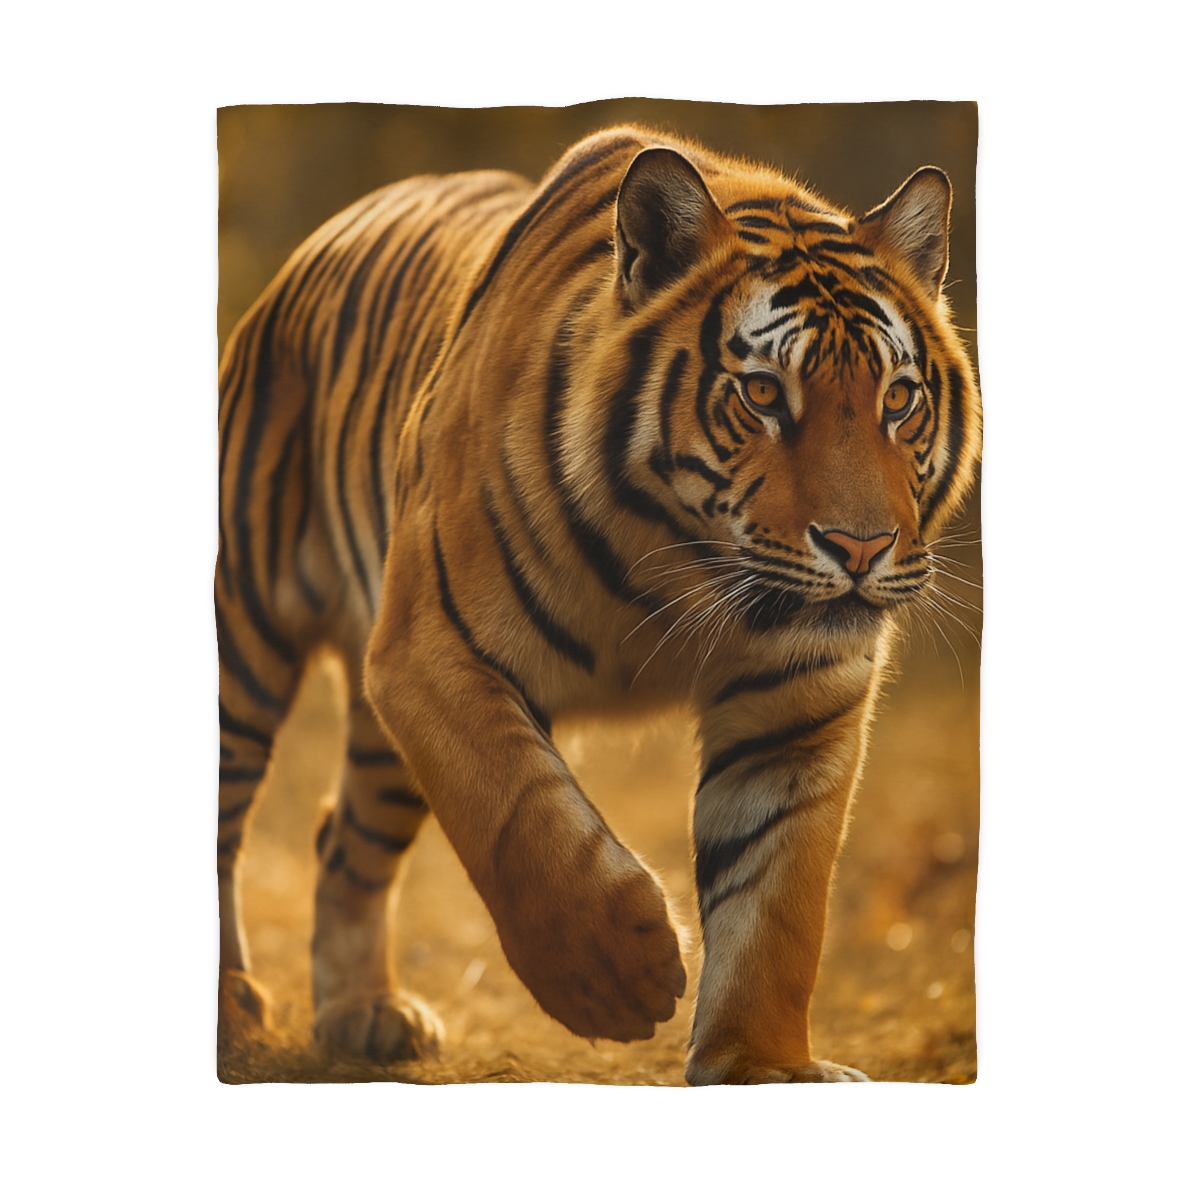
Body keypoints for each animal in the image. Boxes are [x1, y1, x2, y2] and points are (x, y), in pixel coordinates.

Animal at [217, 124, 982, 1085]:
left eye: (899, 399)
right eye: (763, 394)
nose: (860, 548)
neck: (679, 567)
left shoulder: (799, 701)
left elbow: (780, 898)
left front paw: (762, 1066)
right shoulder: (428, 652)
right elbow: (520, 816)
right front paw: (619, 976)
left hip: (381, 748)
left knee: (343, 837)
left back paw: (365, 1014)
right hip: (243, 636)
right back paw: (231, 1007)